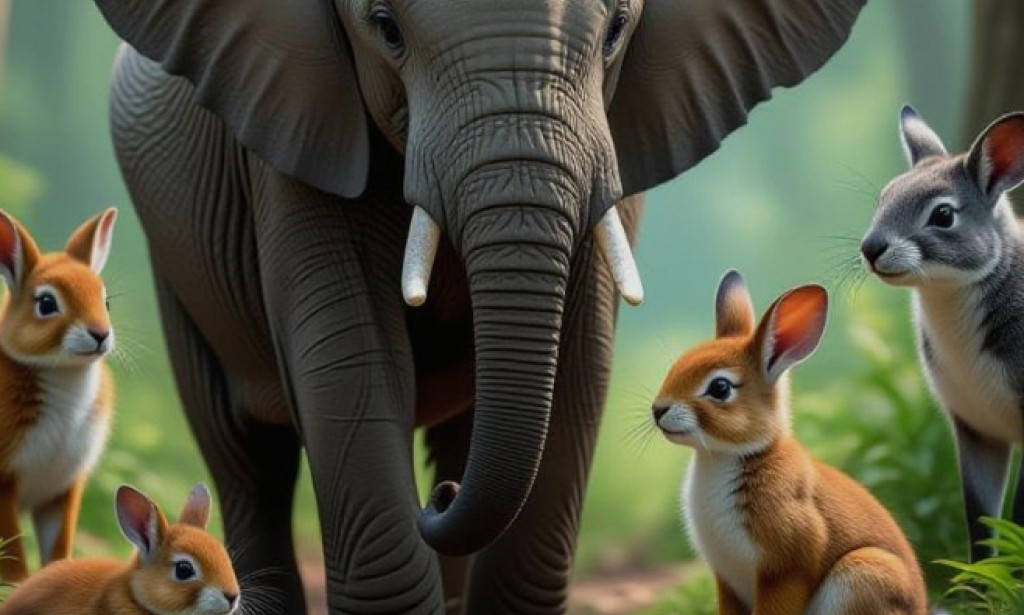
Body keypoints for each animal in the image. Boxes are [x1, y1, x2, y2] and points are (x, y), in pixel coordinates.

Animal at [92, 0, 866, 613]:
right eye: (385, 27)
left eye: (617, 28)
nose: (438, 499)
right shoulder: (290, 137)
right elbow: (348, 362)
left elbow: (580, 367)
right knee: (245, 452)